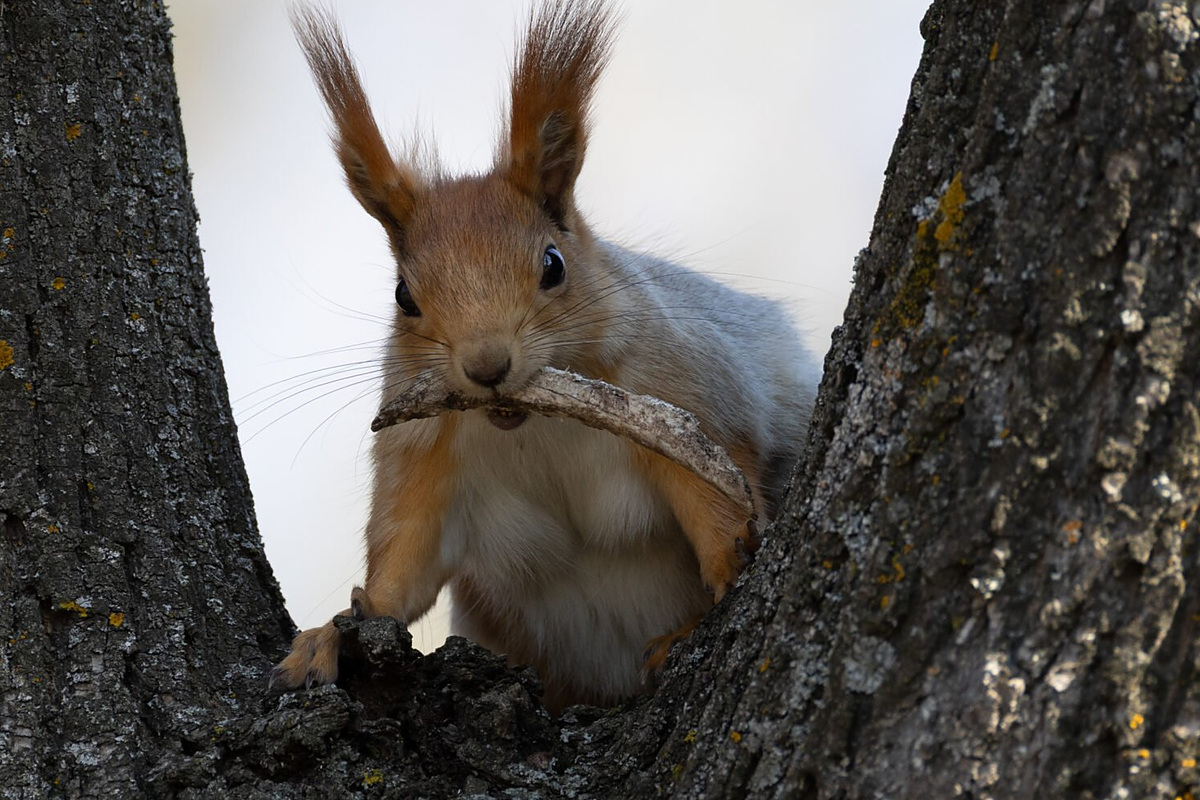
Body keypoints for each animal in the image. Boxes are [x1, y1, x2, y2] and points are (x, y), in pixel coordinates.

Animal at [272, 0, 818, 711]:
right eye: (402, 296)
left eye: (554, 265)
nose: (487, 367)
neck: (536, 426)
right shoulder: (422, 453)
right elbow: (404, 559)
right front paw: (331, 634)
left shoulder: (686, 390)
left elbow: (714, 491)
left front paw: (726, 568)